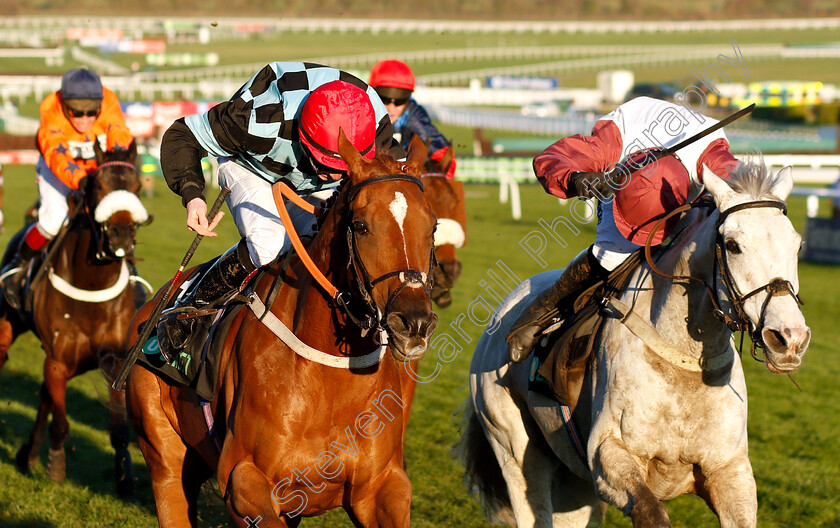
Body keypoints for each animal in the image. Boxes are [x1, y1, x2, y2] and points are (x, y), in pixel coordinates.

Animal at [0, 142, 149, 502]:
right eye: (98, 187)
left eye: (137, 187)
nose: (121, 235)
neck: (91, 286)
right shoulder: (57, 362)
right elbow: (61, 422)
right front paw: (55, 468)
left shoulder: (115, 362)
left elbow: (119, 430)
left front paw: (125, 479)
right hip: (8, 323)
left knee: (43, 397)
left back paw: (28, 454)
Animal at [130, 134, 440, 524]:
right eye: (361, 225)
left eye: (432, 226)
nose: (413, 322)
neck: (331, 381)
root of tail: (152, 306)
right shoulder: (245, 480)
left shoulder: (382, 486)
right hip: (166, 460)